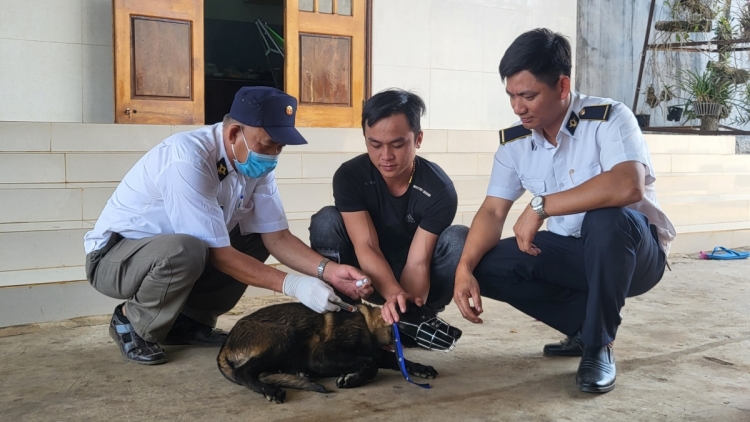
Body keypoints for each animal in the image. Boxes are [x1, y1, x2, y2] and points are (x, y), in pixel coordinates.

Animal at [216, 302, 464, 404]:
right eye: (428, 319)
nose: (460, 332)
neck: (371, 323)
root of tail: (227, 342)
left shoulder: (382, 354)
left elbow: (397, 359)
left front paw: (421, 368)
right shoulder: (322, 356)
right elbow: (370, 364)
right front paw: (352, 379)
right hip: (285, 335)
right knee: (244, 373)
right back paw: (270, 390)